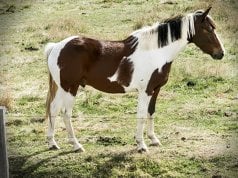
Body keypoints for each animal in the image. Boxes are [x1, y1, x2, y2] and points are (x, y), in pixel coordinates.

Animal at [45, 6, 225, 152]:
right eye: (208, 29)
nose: (221, 53)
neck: (155, 52)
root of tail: (56, 47)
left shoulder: (155, 89)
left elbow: (151, 112)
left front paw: (153, 139)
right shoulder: (145, 91)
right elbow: (141, 115)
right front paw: (141, 144)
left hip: (62, 87)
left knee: (53, 109)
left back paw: (52, 143)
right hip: (70, 87)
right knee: (66, 113)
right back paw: (76, 145)